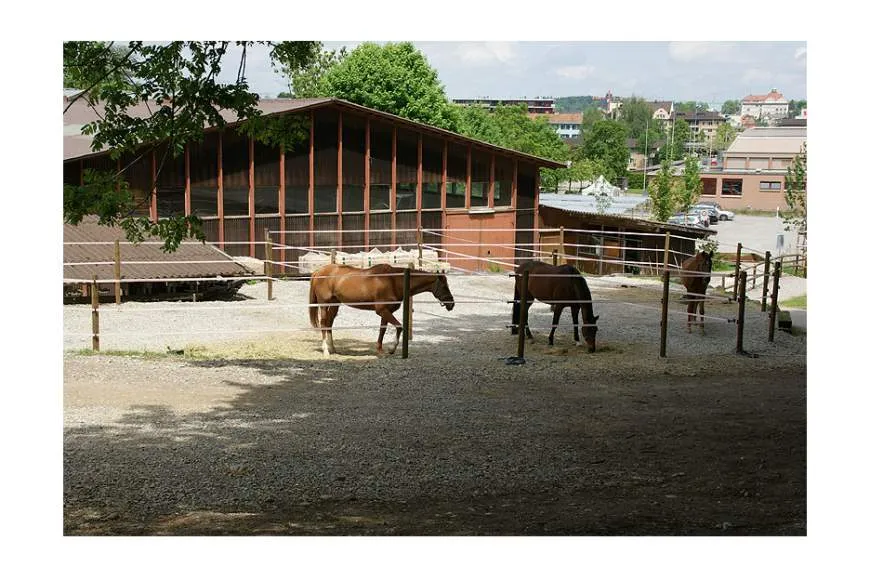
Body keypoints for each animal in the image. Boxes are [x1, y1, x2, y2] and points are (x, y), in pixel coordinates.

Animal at [310, 264, 456, 356]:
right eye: (444, 286)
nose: (451, 304)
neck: (392, 280)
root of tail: (318, 271)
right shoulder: (382, 311)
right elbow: (399, 327)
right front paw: (391, 349)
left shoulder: (386, 312)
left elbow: (383, 330)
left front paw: (380, 349)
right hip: (324, 304)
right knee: (324, 324)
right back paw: (326, 351)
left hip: (335, 304)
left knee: (329, 324)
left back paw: (333, 349)